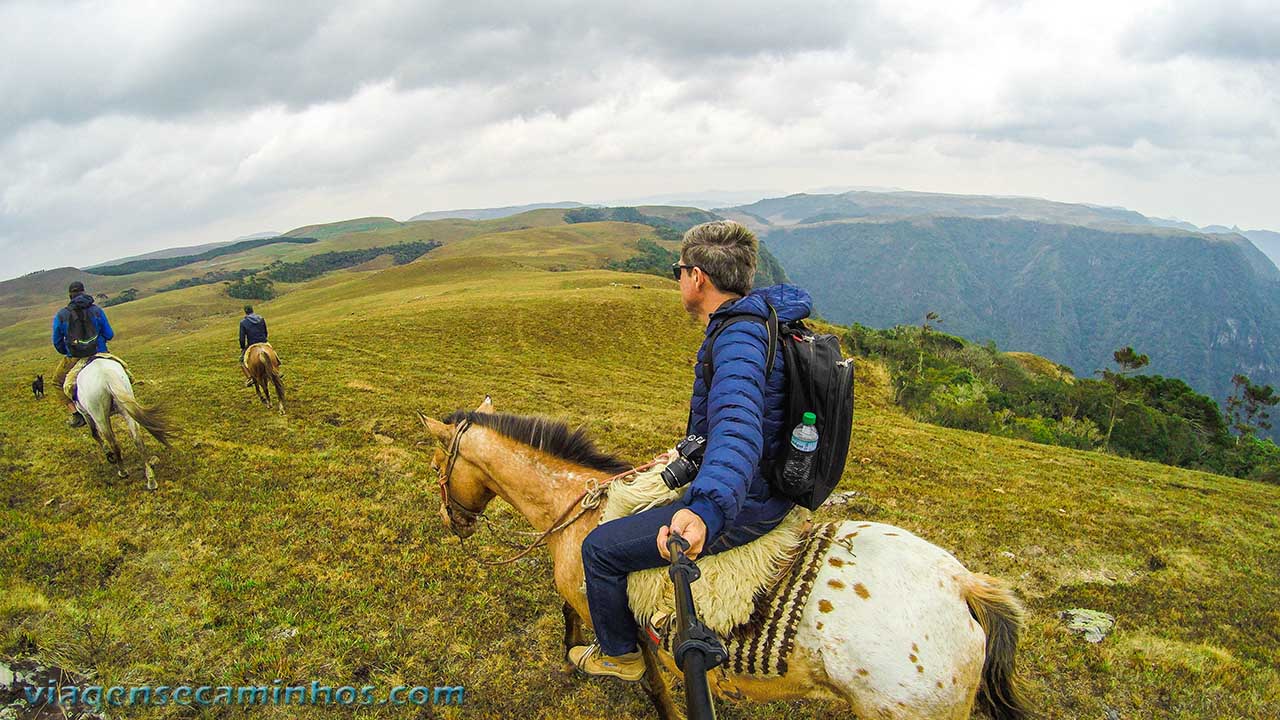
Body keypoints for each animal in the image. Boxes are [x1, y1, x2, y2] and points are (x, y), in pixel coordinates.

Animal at [74, 358, 172, 486]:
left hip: (100, 417)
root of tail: (105, 375)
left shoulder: (85, 414)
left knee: (113, 443)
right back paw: (150, 479)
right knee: (138, 440)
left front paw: (108, 455)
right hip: (127, 409)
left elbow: (94, 434)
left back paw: (122, 471)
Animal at [419, 397, 1029, 717]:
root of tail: (963, 586)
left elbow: (649, 684)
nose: (453, 521)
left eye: (435, 466)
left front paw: (580, 659)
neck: (577, 511)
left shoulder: (629, 629)